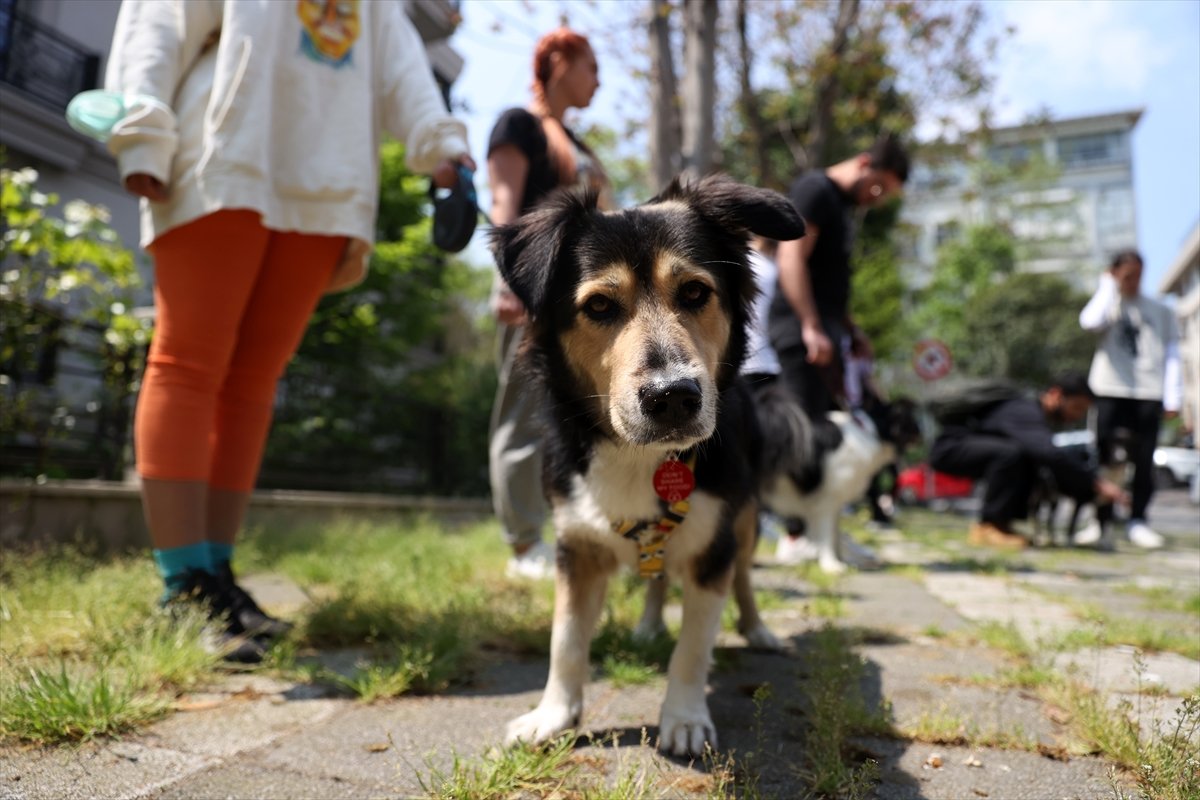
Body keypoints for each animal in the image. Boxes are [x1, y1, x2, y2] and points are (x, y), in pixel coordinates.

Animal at [487, 175, 806, 758]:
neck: (638, 456)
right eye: (599, 305)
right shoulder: (576, 545)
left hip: (746, 520)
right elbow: (565, 639)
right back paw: (650, 623)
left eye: (696, 293)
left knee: (744, 577)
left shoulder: (713, 547)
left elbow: (694, 647)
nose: (673, 397)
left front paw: (684, 718)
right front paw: (552, 716)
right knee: (657, 579)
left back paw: (757, 630)